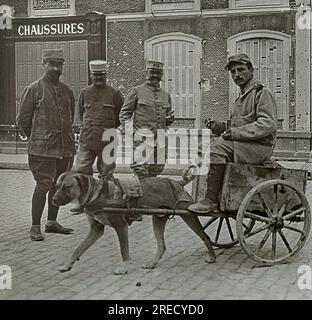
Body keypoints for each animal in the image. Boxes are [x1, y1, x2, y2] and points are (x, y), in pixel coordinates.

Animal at [52, 170, 216, 276]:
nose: (53, 200)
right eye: (56, 186)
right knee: (162, 246)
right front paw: (67, 265)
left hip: (189, 217)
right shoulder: (96, 229)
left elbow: (124, 250)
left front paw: (124, 268)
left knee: (205, 237)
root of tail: (176, 182)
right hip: (158, 219)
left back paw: (212, 256)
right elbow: (78, 249)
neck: (97, 194)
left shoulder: (121, 227)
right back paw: (152, 263)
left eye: (66, 187)